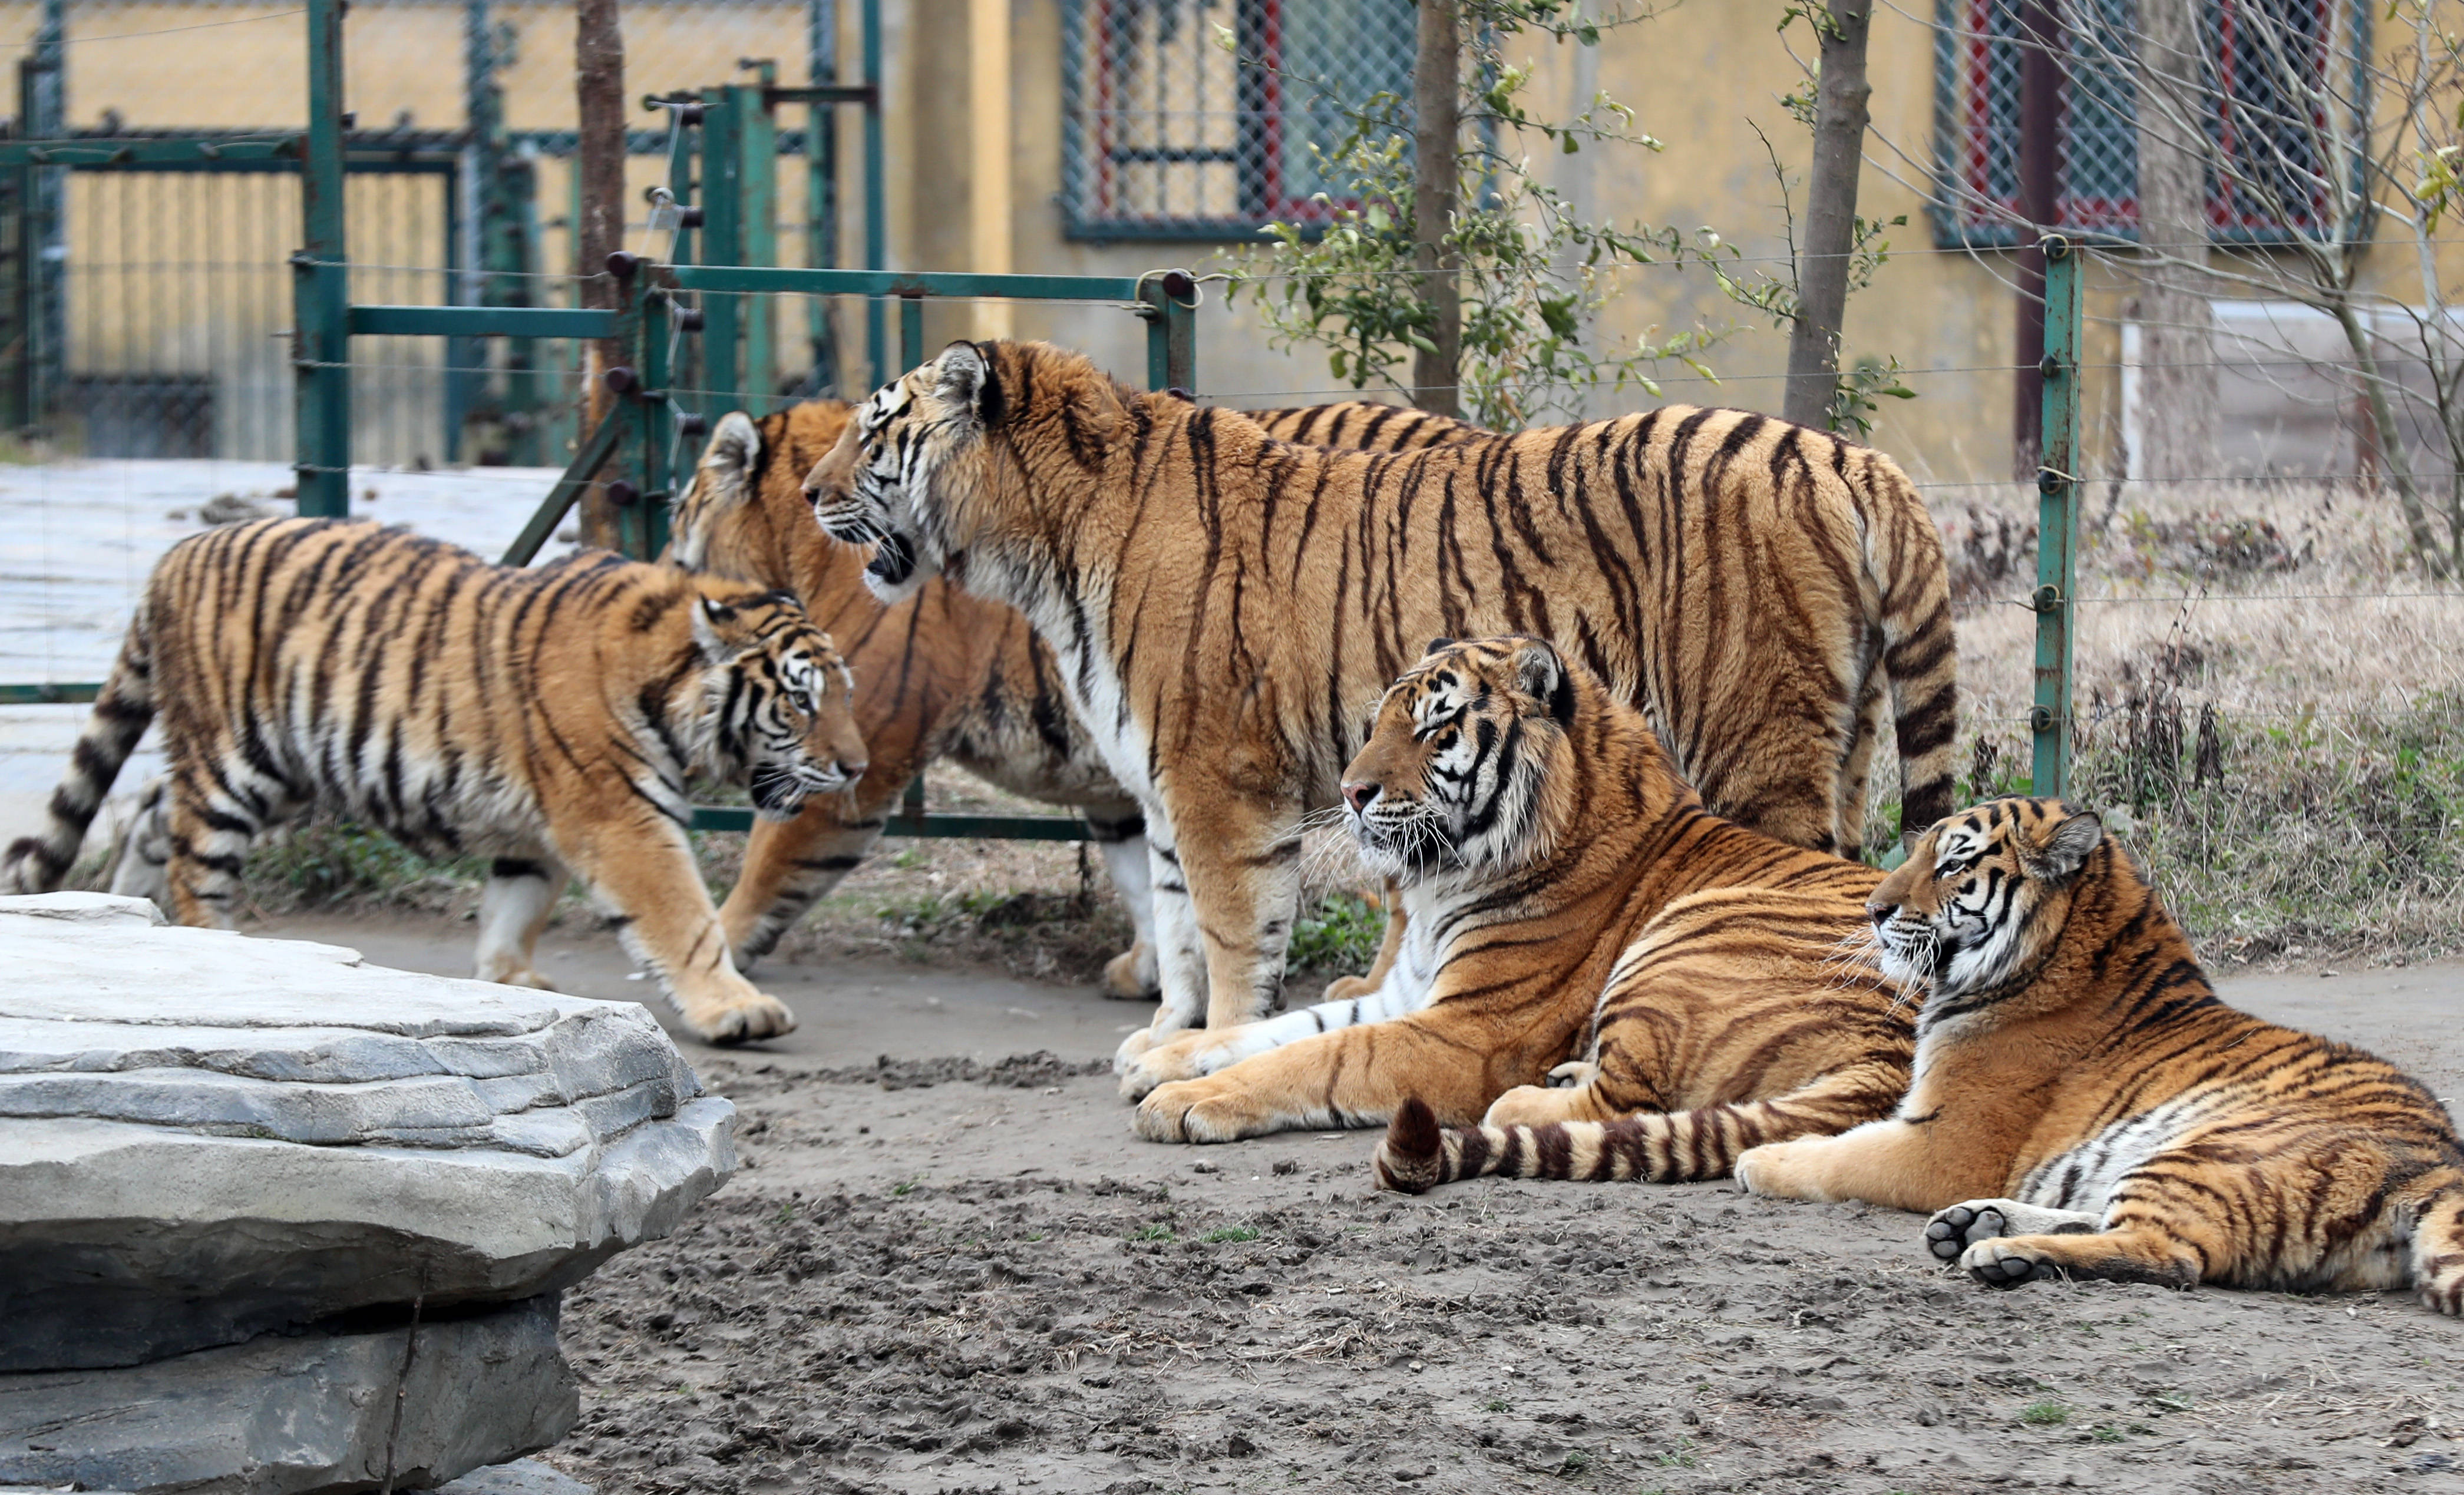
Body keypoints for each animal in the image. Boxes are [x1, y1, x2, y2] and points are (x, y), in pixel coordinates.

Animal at [0, 520, 867, 1049]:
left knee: (152, 813)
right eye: (799, 701)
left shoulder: (547, 822)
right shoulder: (621, 816)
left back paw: (142, 920)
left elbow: (517, 903)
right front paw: (737, 1010)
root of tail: (174, 554)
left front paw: (511, 981)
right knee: (192, 860)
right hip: (232, 764)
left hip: (281, 768)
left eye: (845, 694)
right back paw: (214, 946)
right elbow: (684, 919)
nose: (856, 766)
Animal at [665, 393, 1468, 995]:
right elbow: (1143, 878)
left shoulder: (869, 738)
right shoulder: (1125, 765)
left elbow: (770, 861)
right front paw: (1151, 974)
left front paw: (714, 955)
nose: (665, 573)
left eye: (679, 515)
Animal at [808, 337, 1961, 1064]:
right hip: (1843, 739)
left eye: (875, 429)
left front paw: (1214, 1038)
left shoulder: (1217, 778)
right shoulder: (1163, 783)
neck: (1039, 552)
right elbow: (1175, 923)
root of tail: (1846, 454)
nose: (813, 494)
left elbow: (1229, 931)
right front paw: (1171, 1033)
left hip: (1754, 741)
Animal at [1735, 803, 2464, 1320]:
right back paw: (1978, 1223)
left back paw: (2003, 1251)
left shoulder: (1943, 1144)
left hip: (2207, 1152)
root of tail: (2439, 1164)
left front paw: (1760, 1162)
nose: (1874, 911)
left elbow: (1839, 1154)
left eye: (1951, 866)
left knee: (2167, 1255)